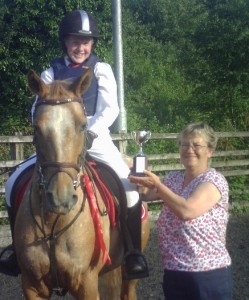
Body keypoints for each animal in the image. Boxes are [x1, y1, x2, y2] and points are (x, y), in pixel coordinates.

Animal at [15, 69, 150, 298]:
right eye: (36, 128)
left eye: (83, 126)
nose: (61, 198)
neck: (54, 222)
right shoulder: (32, 286)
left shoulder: (85, 283)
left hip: (127, 275)